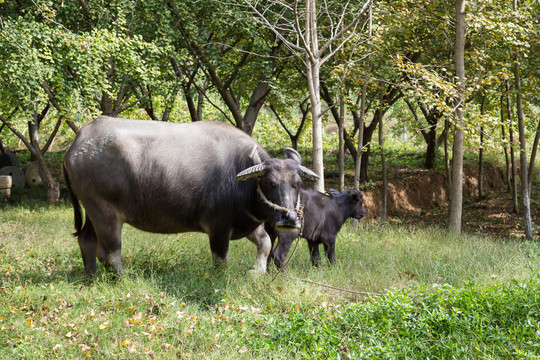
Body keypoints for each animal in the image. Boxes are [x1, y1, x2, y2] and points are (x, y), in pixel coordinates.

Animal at [63, 116, 318, 278]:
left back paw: (91, 276)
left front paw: (257, 271)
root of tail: (79, 141)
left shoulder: (246, 223)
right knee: (110, 250)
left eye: (297, 183)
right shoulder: (218, 228)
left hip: (91, 210)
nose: (289, 219)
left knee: (86, 239)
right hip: (105, 212)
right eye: (270, 182)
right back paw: (121, 279)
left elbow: (265, 242)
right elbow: (220, 260)